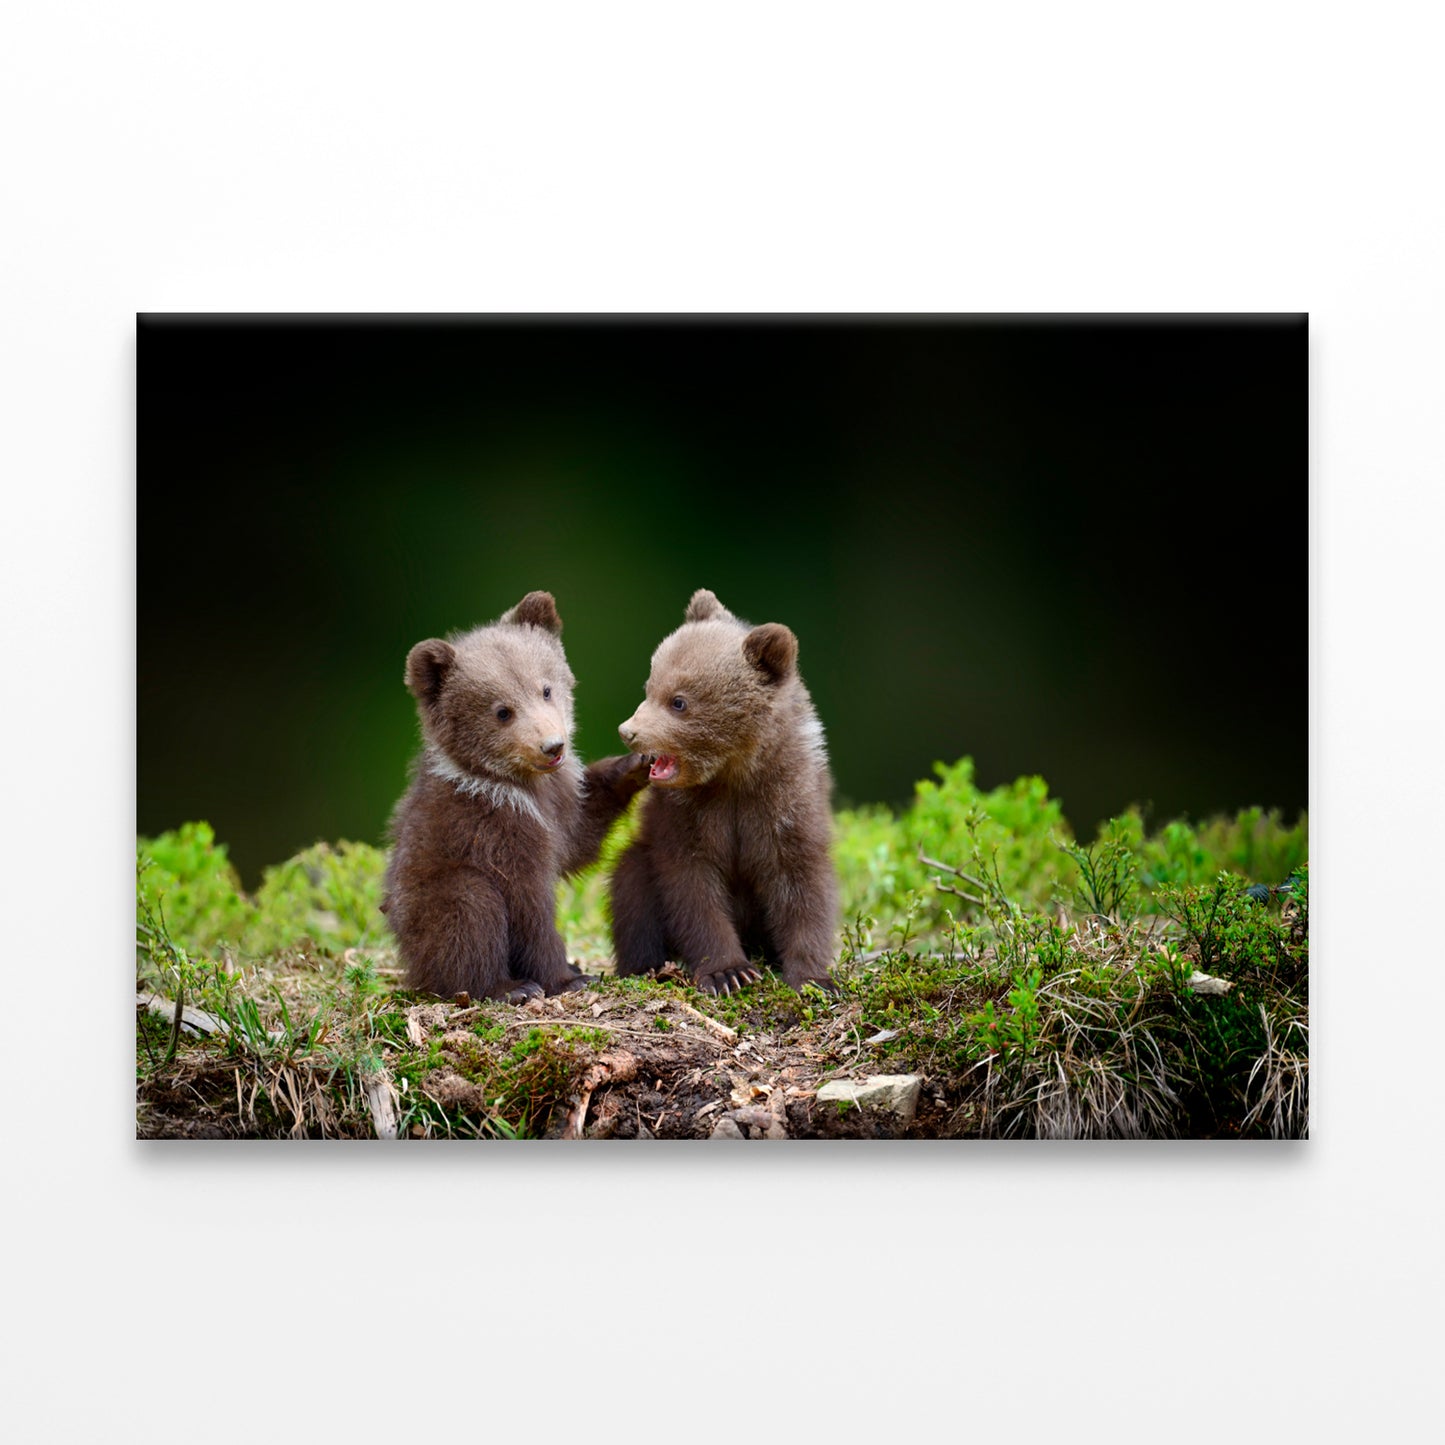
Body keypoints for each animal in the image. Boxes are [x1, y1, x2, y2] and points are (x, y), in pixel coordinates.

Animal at [382, 591, 648, 1003]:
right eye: (502, 711)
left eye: (546, 689)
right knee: (471, 911)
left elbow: (579, 837)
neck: (521, 786)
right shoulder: (496, 829)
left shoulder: (559, 804)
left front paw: (634, 764)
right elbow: (528, 906)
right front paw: (567, 977)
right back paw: (508, 986)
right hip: (431, 899)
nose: (552, 746)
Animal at [609, 588, 838, 996]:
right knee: (631, 886)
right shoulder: (687, 814)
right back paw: (645, 965)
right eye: (649, 687)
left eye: (679, 700)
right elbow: (693, 887)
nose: (628, 731)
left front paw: (814, 978)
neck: (733, 774)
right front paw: (728, 972)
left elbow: (802, 884)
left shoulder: (785, 801)